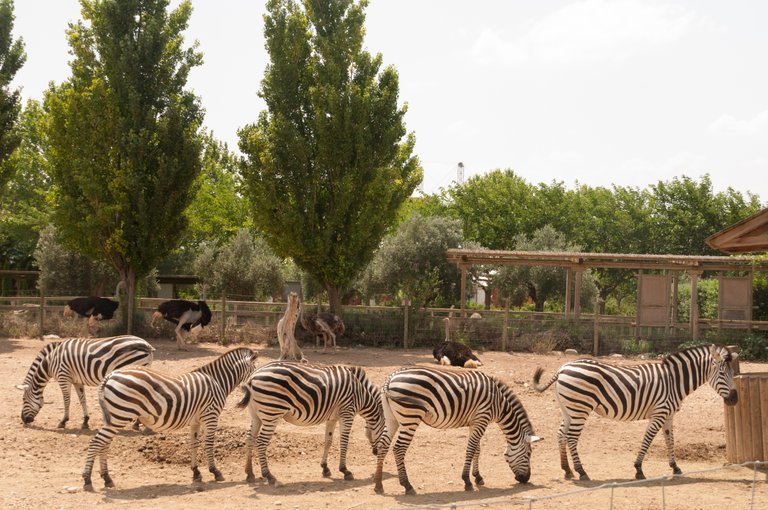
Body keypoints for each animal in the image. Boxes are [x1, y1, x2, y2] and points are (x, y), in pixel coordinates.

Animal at [16, 336, 154, 428]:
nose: (24, 420)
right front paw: (85, 421)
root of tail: (146, 344)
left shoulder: (63, 377)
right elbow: (82, 399)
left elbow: (67, 400)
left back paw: (136, 424)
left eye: (23, 400)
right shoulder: (77, 381)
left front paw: (63, 421)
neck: (50, 362)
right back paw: (138, 423)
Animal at [82, 346, 258, 490]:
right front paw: (215, 471)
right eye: (255, 369)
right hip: (120, 415)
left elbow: (194, 444)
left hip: (113, 417)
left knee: (104, 444)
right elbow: (208, 444)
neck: (218, 381)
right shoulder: (211, 415)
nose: (248, 397)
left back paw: (107, 478)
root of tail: (109, 376)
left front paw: (196, 472)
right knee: (96, 442)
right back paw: (87, 480)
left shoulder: (196, 420)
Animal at [237, 360, 384, 484]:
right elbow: (344, 442)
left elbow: (328, 441)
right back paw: (268, 475)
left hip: (256, 415)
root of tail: (253, 376)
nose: (376, 452)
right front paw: (345, 470)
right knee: (261, 442)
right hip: (272, 412)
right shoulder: (347, 412)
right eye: (384, 432)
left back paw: (249, 473)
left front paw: (325, 468)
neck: (362, 393)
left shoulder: (332, 417)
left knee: (250, 438)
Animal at [374, 364, 540, 496]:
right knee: (398, 449)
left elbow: (477, 449)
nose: (526, 479)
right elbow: (471, 449)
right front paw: (467, 481)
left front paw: (478, 477)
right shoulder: (482, 418)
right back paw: (407, 485)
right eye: (529, 453)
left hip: (392, 419)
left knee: (383, 445)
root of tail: (391, 377)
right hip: (410, 418)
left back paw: (378, 485)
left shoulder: (475, 422)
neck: (499, 402)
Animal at [536, 342, 736, 482]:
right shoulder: (659, 413)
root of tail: (563, 368)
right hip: (580, 408)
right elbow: (648, 439)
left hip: (569, 409)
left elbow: (670, 440)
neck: (674, 381)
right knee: (571, 438)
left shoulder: (669, 415)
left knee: (561, 434)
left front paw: (675, 467)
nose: (735, 399)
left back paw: (567, 470)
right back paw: (581, 471)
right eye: (722, 373)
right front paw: (639, 469)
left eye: (732, 373)